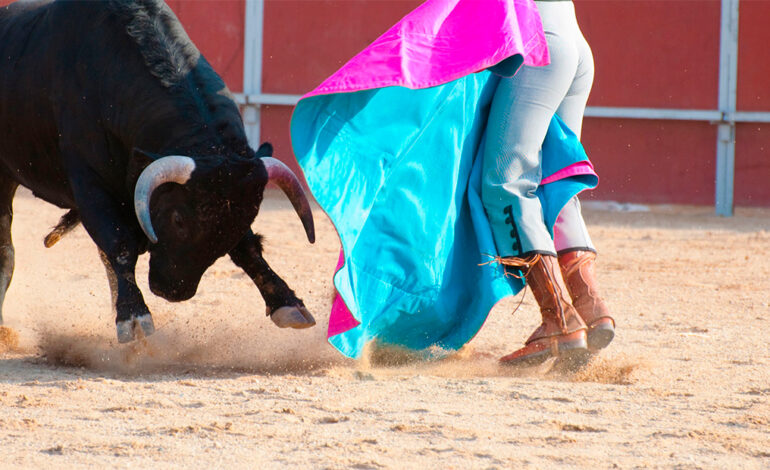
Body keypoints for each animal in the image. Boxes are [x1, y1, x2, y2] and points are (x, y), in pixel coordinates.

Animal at [0, 0, 316, 340]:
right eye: (178, 219)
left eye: (243, 221)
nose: (172, 292)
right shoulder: (90, 185)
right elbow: (118, 243)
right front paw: (133, 317)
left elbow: (248, 247)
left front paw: (288, 303)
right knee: (7, 253)